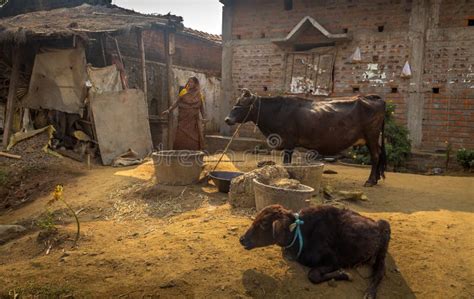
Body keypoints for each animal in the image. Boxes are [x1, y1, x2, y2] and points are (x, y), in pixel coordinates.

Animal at [239, 205, 390, 298]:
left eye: (264, 224)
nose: (242, 239)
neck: (300, 234)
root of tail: (375, 223)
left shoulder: (334, 260)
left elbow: (313, 275)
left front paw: (345, 274)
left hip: (383, 247)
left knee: (380, 271)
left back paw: (370, 293)